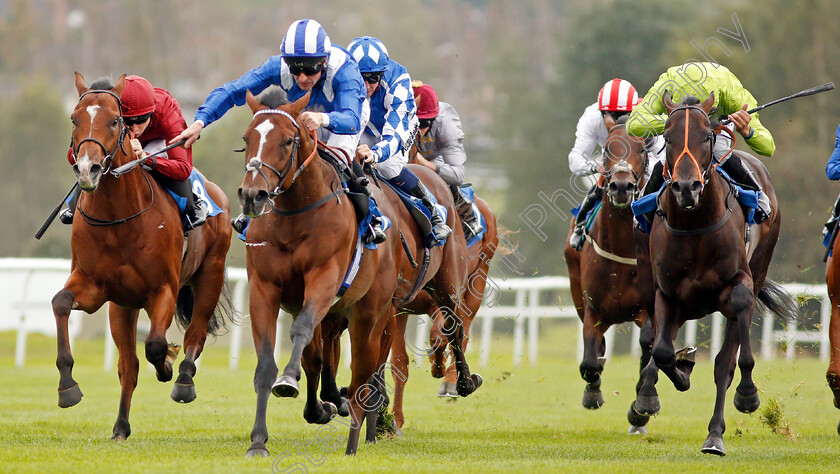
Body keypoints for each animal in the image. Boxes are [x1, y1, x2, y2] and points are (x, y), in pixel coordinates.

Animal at [50, 73, 235, 440]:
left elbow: (155, 345)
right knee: (128, 365)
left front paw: (167, 364)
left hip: (210, 273)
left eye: (114, 120)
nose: (88, 169)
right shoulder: (94, 287)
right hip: (123, 305)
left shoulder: (163, 289)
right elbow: (61, 302)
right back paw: (121, 426)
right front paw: (67, 387)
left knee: (196, 332)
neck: (119, 218)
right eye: (74, 119)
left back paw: (183, 379)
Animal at [236, 89, 482, 456]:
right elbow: (280, 363)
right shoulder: (266, 290)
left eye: (288, 140)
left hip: (429, 289)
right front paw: (259, 441)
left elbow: (304, 333)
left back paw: (461, 383)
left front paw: (292, 381)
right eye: (247, 139)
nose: (253, 194)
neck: (297, 215)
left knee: (448, 328)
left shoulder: (326, 280)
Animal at [564, 114, 656, 434]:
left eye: (642, 149)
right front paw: (592, 393)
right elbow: (590, 362)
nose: (621, 186)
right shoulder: (592, 309)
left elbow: (648, 347)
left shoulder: (647, 308)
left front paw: (641, 407)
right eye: (606, 149)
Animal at [632, 91, 796, 456]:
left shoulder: (739, 285)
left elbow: (730, 358)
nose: (686, 187)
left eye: (707, 136)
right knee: (660, 346)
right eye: (668, 138)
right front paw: (654, 392)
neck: (695, 225)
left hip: (759, 266)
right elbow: (662, 351)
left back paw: (715, 434)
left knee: (725, 363)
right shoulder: (668, 294)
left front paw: (747, 396)